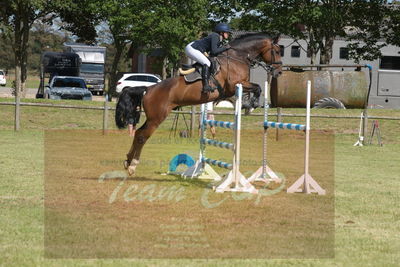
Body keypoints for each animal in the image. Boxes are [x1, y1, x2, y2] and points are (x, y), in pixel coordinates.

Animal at [115, 33, 284, 176]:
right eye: (277, 51)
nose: (279, 72)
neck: (238, 57)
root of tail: (148, 89)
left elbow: (256, 88)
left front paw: (249, 105)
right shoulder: (235, 84)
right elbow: (258, 87)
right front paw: (252, 104)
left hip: (152, 118)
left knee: (138, 133)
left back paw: (127, 161)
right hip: (156, 118)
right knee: (142, 136)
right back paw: (132, 166)